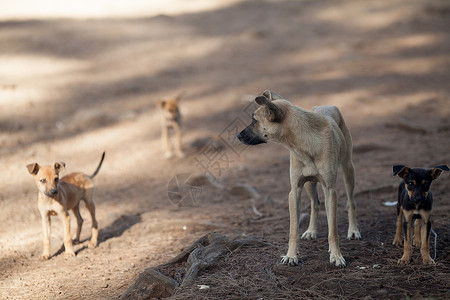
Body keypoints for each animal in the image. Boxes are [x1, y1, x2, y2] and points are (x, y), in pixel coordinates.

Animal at [237, 90, 360, 266]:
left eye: (254, 120)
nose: (237, 135)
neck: (304, 144)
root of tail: (328, 105)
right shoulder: (295, 191)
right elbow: (293, 230)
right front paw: (291, 255)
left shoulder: (330, 190)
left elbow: (333, 230)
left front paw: (336, 255)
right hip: (309, 184)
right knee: (315, 204)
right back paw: (311, 230)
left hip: (348, 170)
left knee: (351, 203)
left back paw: (353, 230)